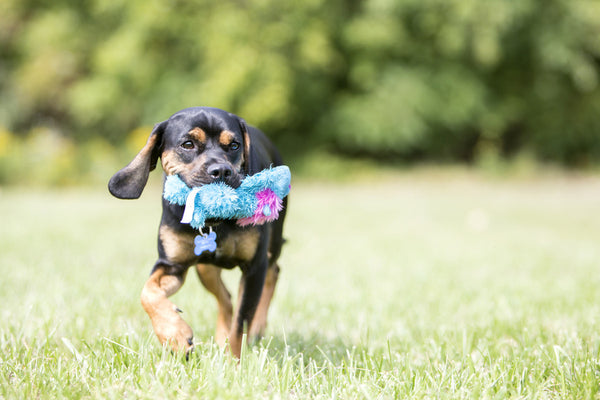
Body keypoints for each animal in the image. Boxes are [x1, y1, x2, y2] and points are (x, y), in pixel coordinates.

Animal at [109, 106, 288, 356]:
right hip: (205, 268)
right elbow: (148, 293)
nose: (221, 170)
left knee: (273, 272)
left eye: (234, 145)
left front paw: (233, 361)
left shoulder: (254, 266)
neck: (215, 221)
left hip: (271, 244)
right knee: (226, 298)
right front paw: (174, 334)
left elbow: (241, 324)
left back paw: (257, 328)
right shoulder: (172, 265)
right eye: (188, 144)